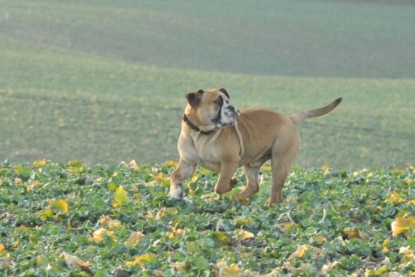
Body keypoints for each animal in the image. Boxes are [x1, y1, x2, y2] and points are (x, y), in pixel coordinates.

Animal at [169, 87, 342, 206]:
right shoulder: (188, 164)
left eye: (227, 101)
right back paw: (238, 198)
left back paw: (268, 208)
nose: (233, 108)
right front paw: (176, 193)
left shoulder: (229, 162)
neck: (200, 133)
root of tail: (289, 119)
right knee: (254, 186)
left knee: (275, 192)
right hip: (251, 165)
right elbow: (174, 175)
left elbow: (220, 185)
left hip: (280, 163)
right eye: (217, 102)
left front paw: (231, 183)